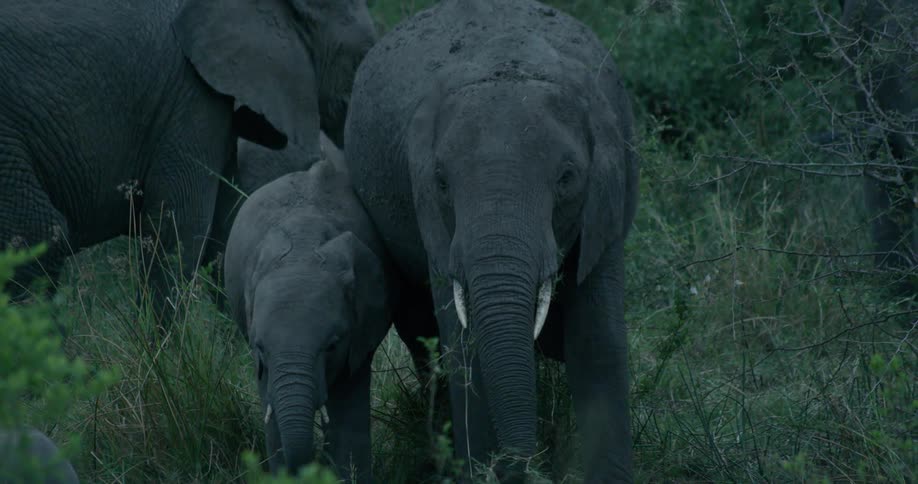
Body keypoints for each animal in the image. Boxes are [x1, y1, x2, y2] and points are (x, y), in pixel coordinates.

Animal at [0, 0, 376, 328]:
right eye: (362, 57)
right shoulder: (190, 95)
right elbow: (179, 230)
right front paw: (162, 360)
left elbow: (227, 235)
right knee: (34, 239)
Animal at [223, 152, 393, 480]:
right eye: (260, 347)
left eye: (332, 345)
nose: (312, 465)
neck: (304, 244)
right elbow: (272, 411)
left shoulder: (358, 334)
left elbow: (348, 409)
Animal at [343, 0, 639, 481]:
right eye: (442, 183)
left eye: (567, 178)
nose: (528, 467)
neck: (509, 62)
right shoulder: (433, 220)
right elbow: (466, 351)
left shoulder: (606, 209)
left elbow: (598, 344)